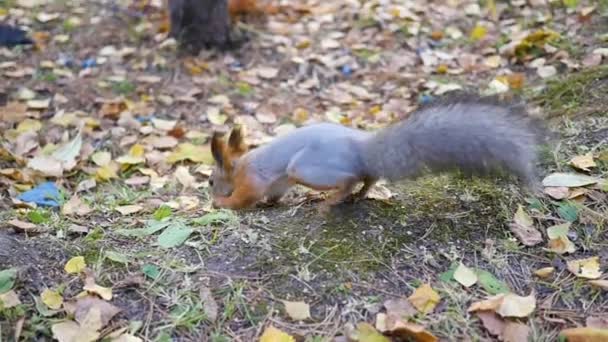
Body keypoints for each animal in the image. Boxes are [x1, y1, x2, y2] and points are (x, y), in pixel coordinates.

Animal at [210, 93, 552, 211]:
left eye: (211, 181)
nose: (212, 190)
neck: (240, 163)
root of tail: (362, 149)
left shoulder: (251, 180)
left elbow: (244, 199)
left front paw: (221, 203)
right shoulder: (275, 183)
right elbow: (273, 195)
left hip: (306, 167)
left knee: (349, 178)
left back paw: (330, 201)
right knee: (369, 176)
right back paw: (358, 196)